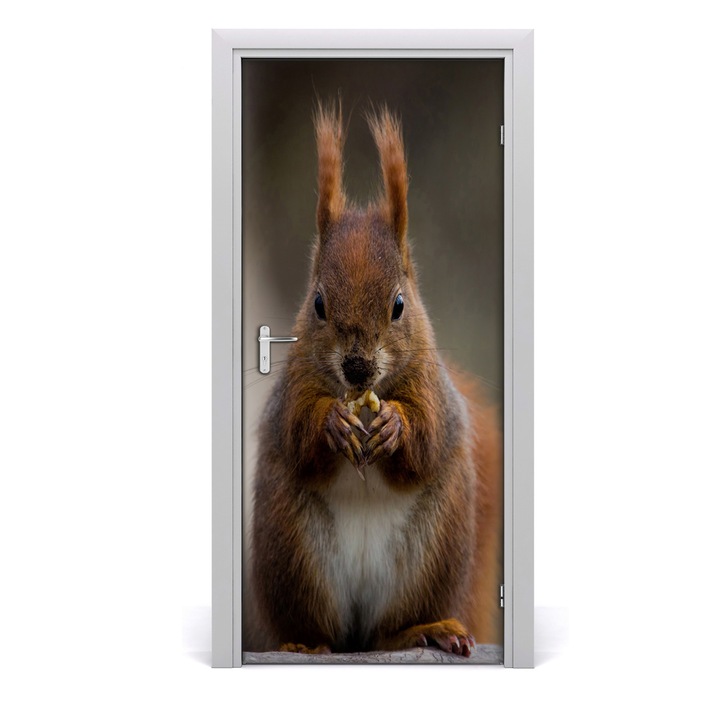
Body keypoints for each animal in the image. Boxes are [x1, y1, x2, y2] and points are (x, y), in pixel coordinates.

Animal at [247, 102, 502, 657]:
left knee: (390, 627)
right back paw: (304, 645)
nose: (357, 367)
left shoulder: (433, 388)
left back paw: (424, 629)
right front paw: (331, 423)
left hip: (432, 552)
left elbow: (428, 435)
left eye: (399, 304)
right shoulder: (292, 389)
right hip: (293, 549)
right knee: (321, 629)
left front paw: (396, 427)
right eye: (318, 304)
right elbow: (298, 431)